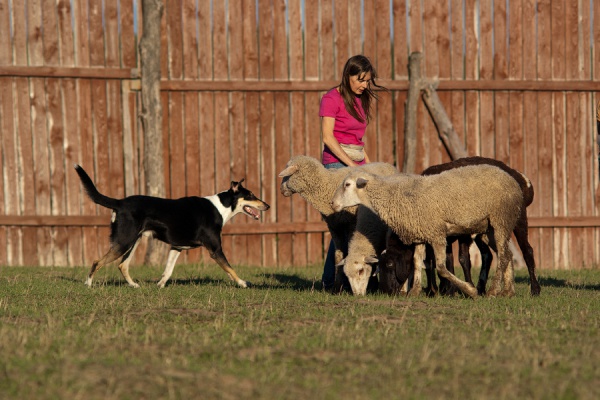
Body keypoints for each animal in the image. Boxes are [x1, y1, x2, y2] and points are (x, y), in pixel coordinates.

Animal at [74, 164, 270, 290]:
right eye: (251, 195)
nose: (267, 206)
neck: (222, 206)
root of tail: (119, 202)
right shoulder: (215, 250)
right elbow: (231, 269)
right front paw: (243, 283)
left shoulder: (177, 247)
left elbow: (168, 271)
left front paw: (160, 285)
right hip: (124, 241)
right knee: (97, 261)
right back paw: (88, 285)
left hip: (133, 241)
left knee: (122, 265)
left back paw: (134, 285)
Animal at [278, 155, 400, 292]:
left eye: (288, 174)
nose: (281, 190)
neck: (326, 185)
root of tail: (386, 164)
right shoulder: (334, 226)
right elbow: (338, 255)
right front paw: (337, 287)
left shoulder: (352, 225)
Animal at [330, 164, 524, 298]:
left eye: (347, 184)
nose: (332, 204)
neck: (394, 195)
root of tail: (510, 177)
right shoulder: (420, 233)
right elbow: (417, 263)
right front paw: (414, 291)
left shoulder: (436, 233)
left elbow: (441, 268)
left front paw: (470, 290)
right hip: (490, 228)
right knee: (506, 253)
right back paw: (508, 291)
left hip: (501, 219)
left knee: (503, 256)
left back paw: (493, 291)